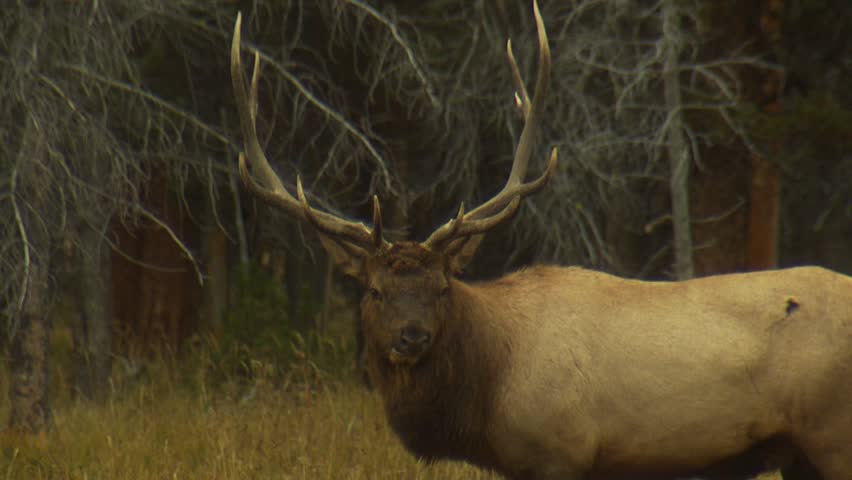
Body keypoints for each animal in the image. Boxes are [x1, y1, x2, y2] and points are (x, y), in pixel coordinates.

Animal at [229, 2, 852, 479]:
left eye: (441, 288)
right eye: (375, 291)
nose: (412, 336)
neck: (487, 390)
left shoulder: (559, 451)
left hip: (832, 436)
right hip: (801, 455)